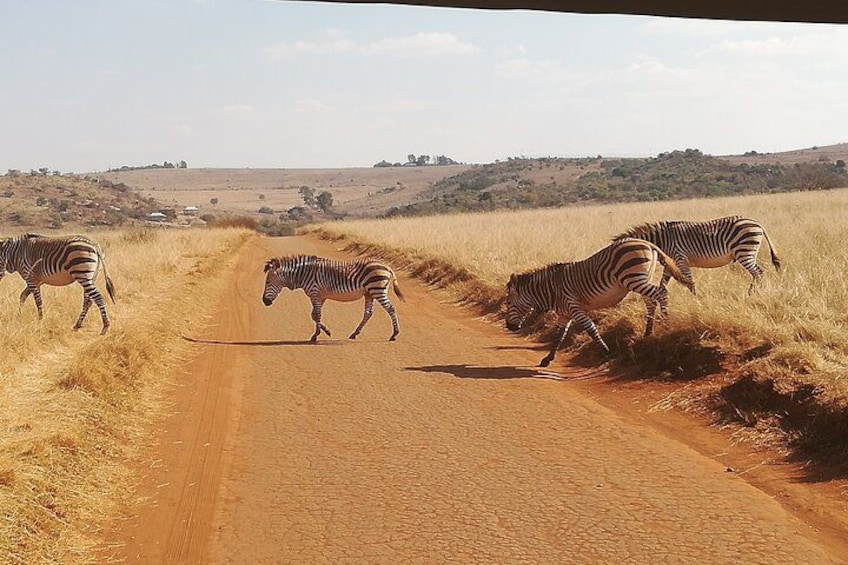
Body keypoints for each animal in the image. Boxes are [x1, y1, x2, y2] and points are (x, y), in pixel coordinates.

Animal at [262, 255, 404, 342]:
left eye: (268, 282)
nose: (264, 301)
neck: (304, 274)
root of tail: (387, 266)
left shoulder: (315, 293)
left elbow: (316, 315)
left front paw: (317, 335)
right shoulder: (320, 296)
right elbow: (314, 315)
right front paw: (324, 332)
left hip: (377, 290)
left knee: (391, 308)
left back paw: (394, 334)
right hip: (369, 293)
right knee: (368, 313)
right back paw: (354, 334)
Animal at [504, 238, 692, 367]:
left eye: (508, 303)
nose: (509, 327)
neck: (552, 289)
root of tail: (646, 242)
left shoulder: (574, 307)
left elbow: (590, 328)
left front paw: (606, 352)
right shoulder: (565, 313)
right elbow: (559, 335)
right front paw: (547, 359)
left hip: (633, 279)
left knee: (661, 293)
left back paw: (667, 324)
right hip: (642, 278)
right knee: (651, 301)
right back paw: (648, 333)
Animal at [613, 215, 781, 295]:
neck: (662, 241)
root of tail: (758, 223)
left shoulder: (680, 258)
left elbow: (689, 281)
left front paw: (696, 298)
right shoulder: (671, 263)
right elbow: (663, 283)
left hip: (744, 252)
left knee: (758, 272)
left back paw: (752, 293)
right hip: (747, 252)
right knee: (758, 272)